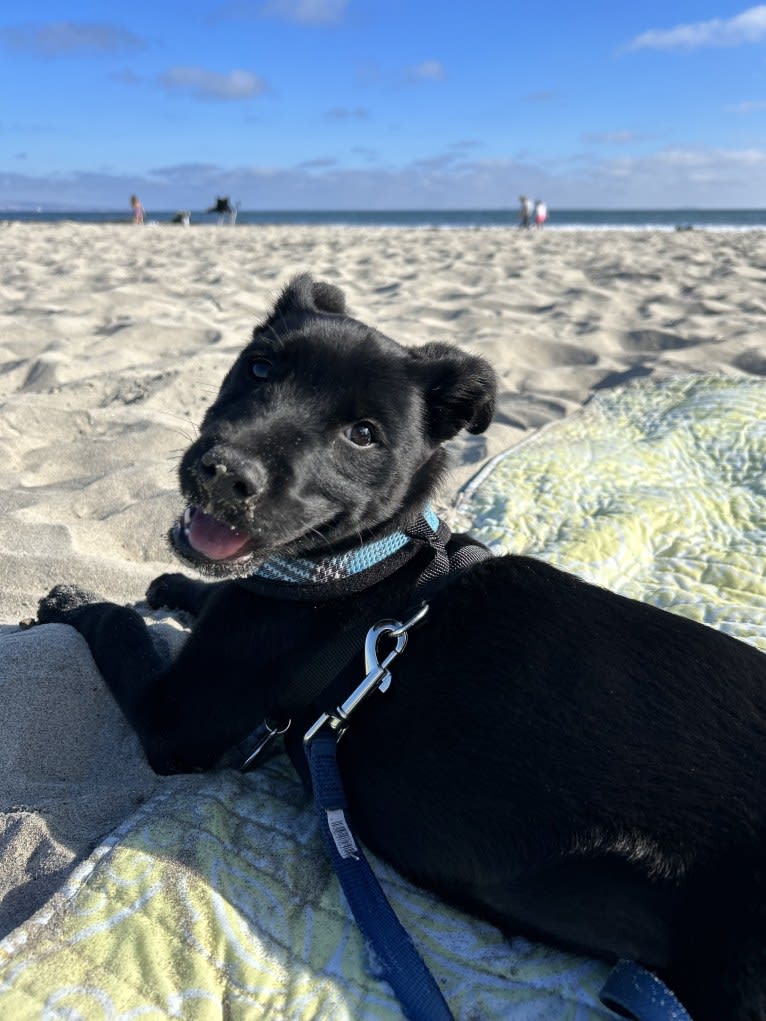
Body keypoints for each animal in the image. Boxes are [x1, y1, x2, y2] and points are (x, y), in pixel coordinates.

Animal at [40, 273, 766, 1021]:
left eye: (362, 435)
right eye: (261, 368)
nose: (224, 474)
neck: (370, 566)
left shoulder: (174, 717)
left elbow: (123, 629)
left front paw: (72, 600)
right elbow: (206, 594)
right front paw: (172, 584)